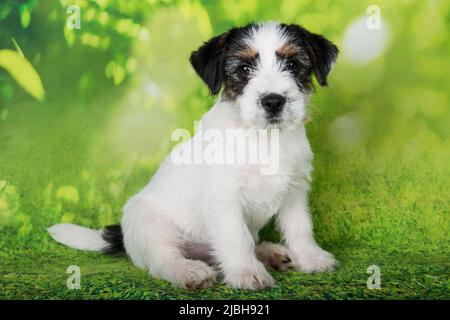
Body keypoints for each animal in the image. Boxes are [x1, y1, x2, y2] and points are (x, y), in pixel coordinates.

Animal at [48, 20, 338, 290]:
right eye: (244, 69)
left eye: (292, 64)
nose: (274, 101)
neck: (265, 139)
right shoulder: (225, 198)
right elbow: (237, 236)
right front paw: (246, 273)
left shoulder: (295, 191)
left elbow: (300, 227)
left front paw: (311, 258)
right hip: (148, 224)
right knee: (164, 259)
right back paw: (190, 271)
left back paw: (273, 254)